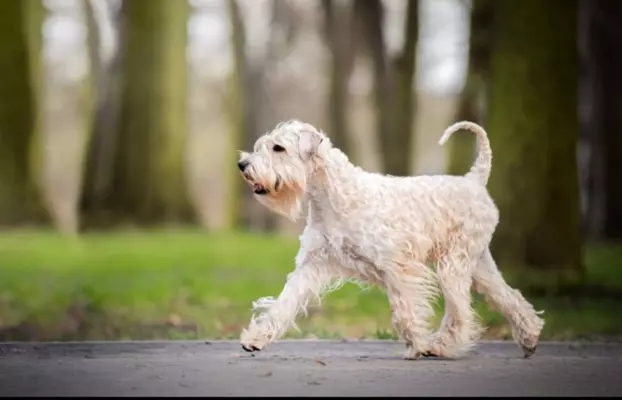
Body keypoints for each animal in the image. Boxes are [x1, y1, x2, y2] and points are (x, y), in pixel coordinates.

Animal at [238, 119, 544, 360]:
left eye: (279, 148)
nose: (242, 164)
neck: (336, 196)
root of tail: (475, 181)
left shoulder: (397, 267)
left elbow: (404, 311)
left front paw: (418, 345)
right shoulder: (311, 264)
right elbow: (283, 303)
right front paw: (256, 338)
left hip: (454, 264)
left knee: (459, 311)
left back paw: (440, 345)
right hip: (479, 264)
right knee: (509, 297)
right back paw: (529, 337)